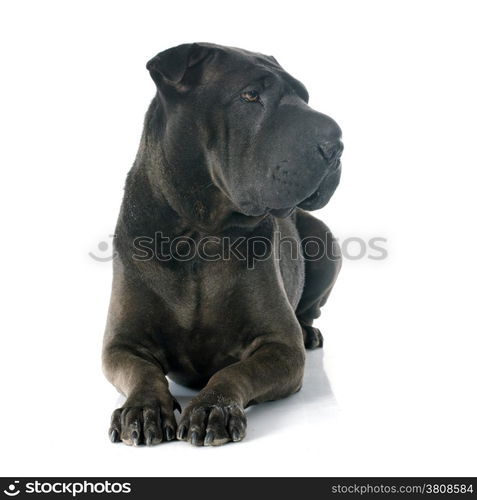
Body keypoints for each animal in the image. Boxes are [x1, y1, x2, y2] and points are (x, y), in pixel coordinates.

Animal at [103, 43, 342, 448]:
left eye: (304, 97)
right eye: (250, 95)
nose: (336, 144)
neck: (198, 236)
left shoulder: (280, 346)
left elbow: (234, 373)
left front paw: (212, 407)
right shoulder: (121, 343)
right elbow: (142, 372)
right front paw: (145, 408)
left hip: (325, 241)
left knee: (310, 310)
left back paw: (309, 330)